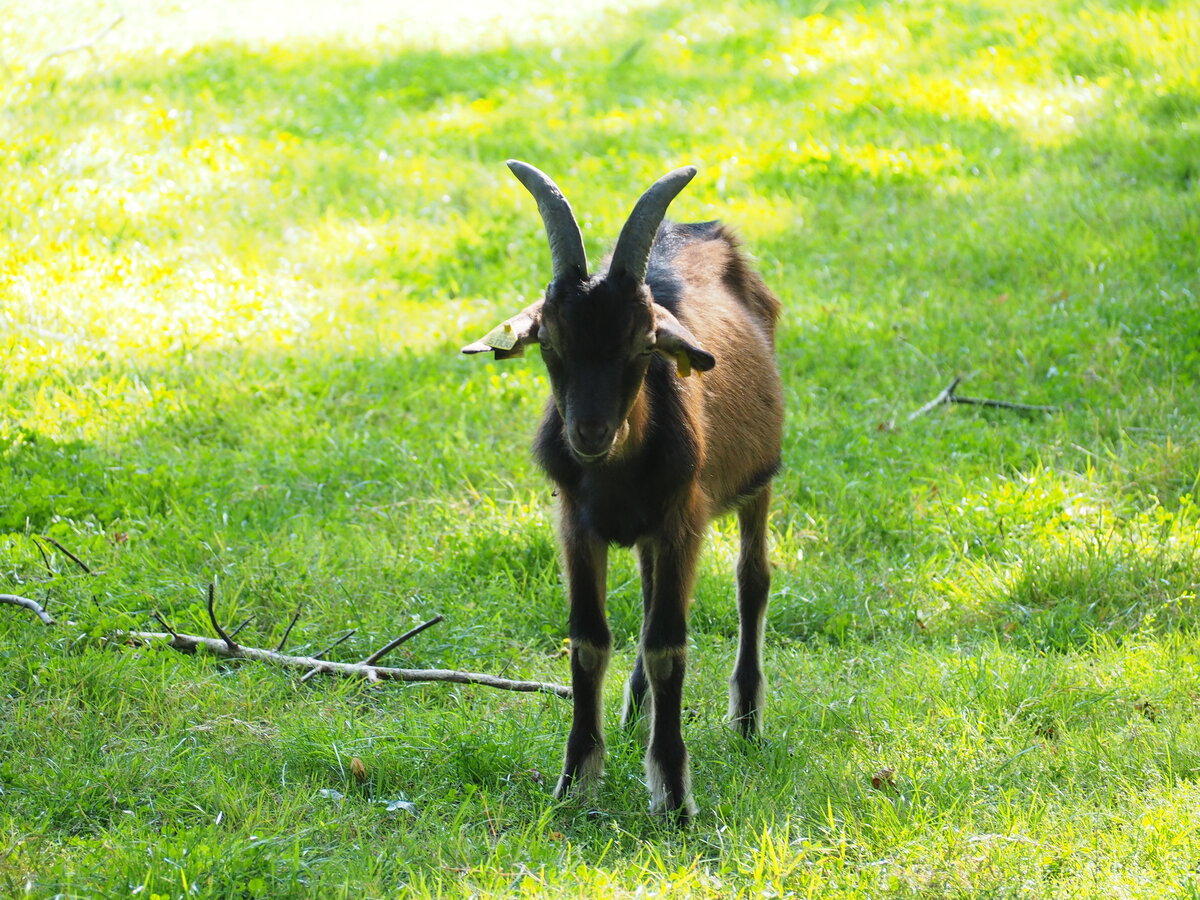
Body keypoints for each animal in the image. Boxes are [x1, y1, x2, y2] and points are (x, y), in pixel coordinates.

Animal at [460, 162, 787, 825]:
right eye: (550, 343)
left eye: (643, 344)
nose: (588, 432)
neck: (611, 472)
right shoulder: (576, 522)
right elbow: (589, 641)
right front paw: (576, 779)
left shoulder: (683, 520)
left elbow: (668, 646)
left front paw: (674, 793)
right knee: (647, 592)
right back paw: (636, 711)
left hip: (757, 482)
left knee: (752, 581)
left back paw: (745, 721)